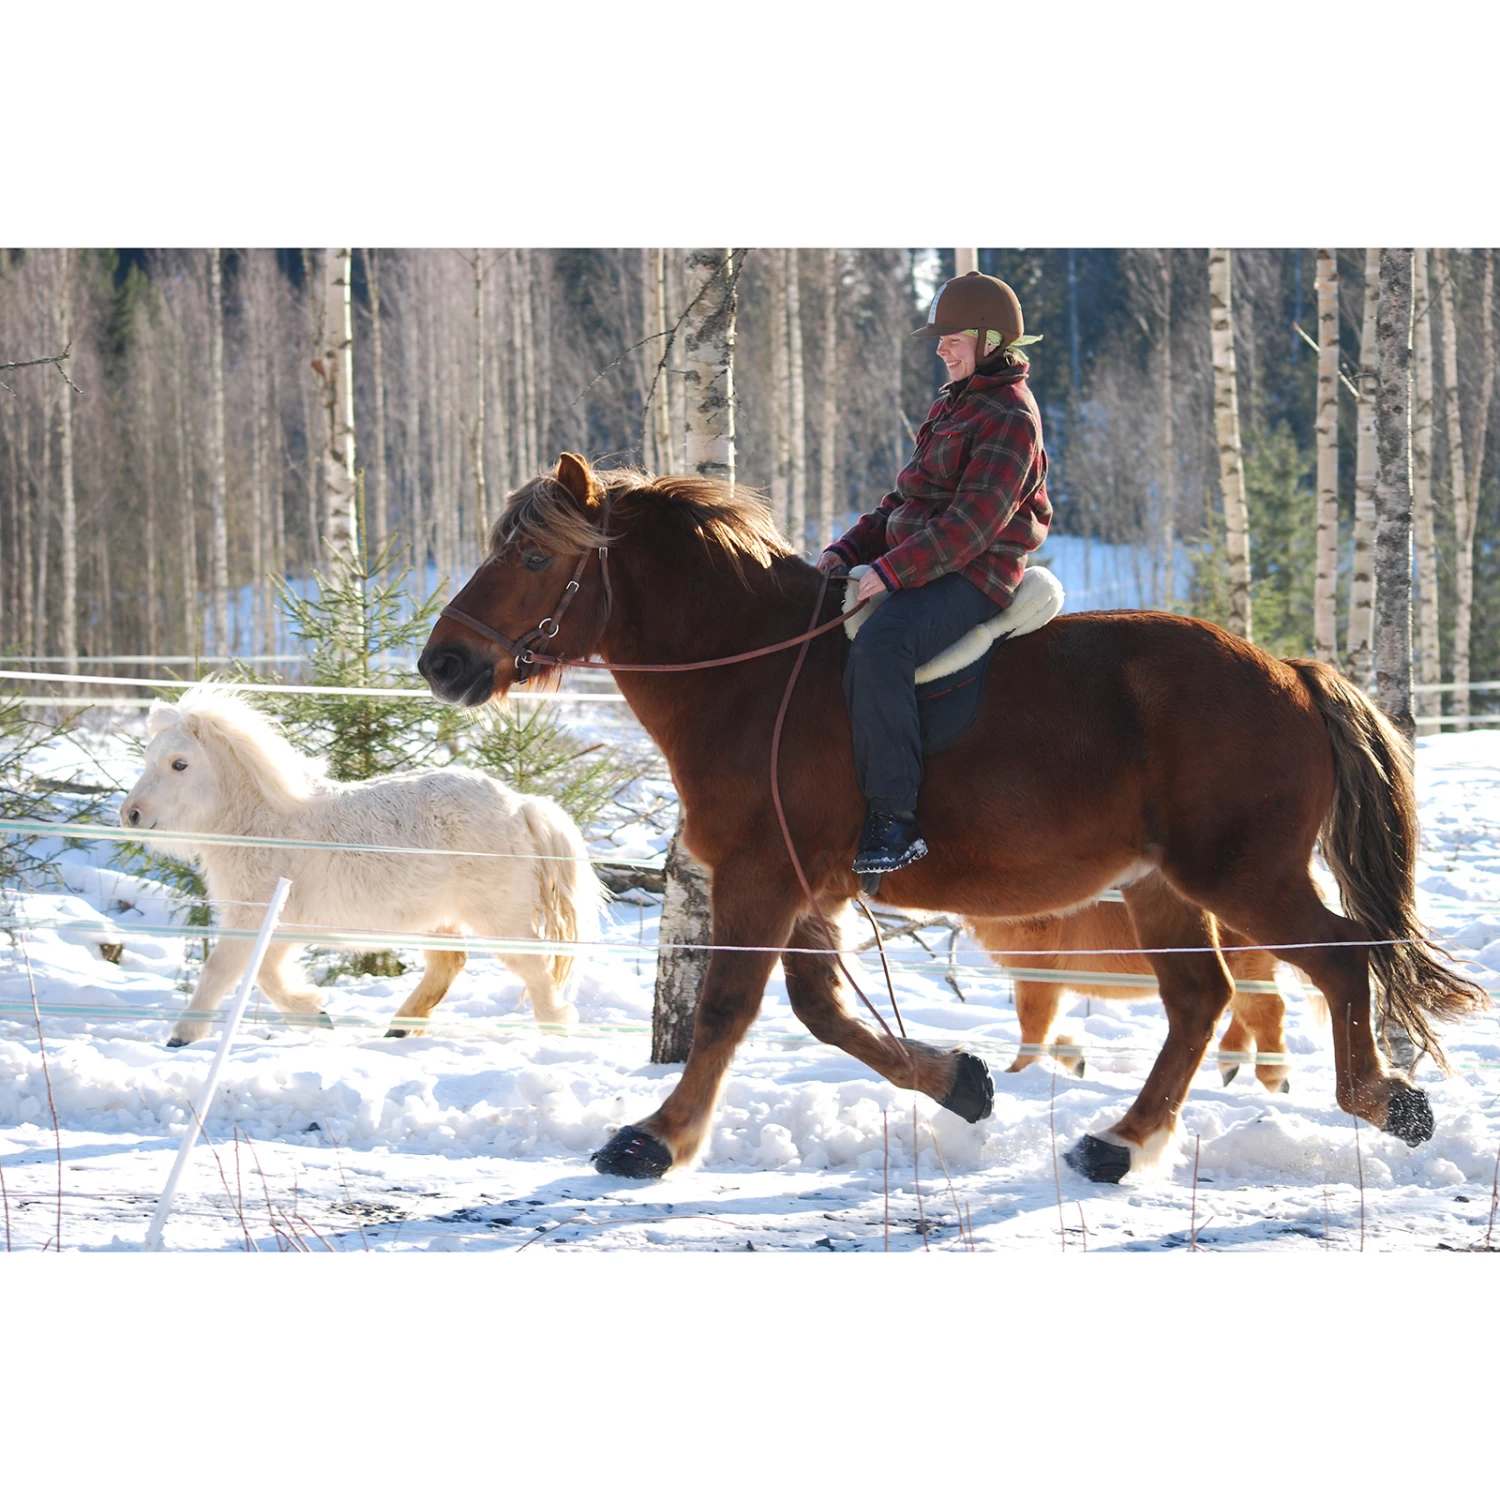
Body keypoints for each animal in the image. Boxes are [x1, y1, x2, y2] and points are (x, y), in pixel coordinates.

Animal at [119, 685, 599, 1046]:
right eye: (147, 760)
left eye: (179, 764)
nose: (131, 815)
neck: (263, 821)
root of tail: (521, 805)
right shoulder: (280, 926)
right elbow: (267, 976)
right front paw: (314, 1014)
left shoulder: (254, 918)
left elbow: (223, 970)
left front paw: (182, 1036)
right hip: (438, 918)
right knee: (449, 964)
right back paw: (400, 1028)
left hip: (498, 917)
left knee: (534, 967)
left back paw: (554, 1030)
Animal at [968, 902, 1295, 1093]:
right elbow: (1048, 1027)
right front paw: (1075, 1059)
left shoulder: (1036, 972)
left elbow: (1034, 1025)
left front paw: (1015, 1074)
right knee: (1252, 1011)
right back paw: (1232, 1065)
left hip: (1242, 962)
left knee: (1267, 1009)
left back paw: (1272, 1076)